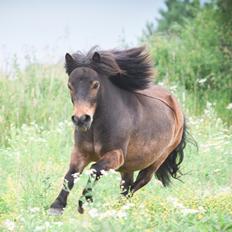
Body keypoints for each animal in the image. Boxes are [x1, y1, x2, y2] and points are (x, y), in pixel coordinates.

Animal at [49, 45, 188, 216]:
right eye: (70, 85)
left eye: (95, 84)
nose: (81, 119)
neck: (97, 127)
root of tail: (177, 106)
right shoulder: (80, 152)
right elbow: (71, 175)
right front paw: (57, 206)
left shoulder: (116, 155)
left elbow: (94, 169)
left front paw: (85, 201)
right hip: (128, 167)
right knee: (127, 185)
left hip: (156, 160)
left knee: (137, 184)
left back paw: (119, 207)